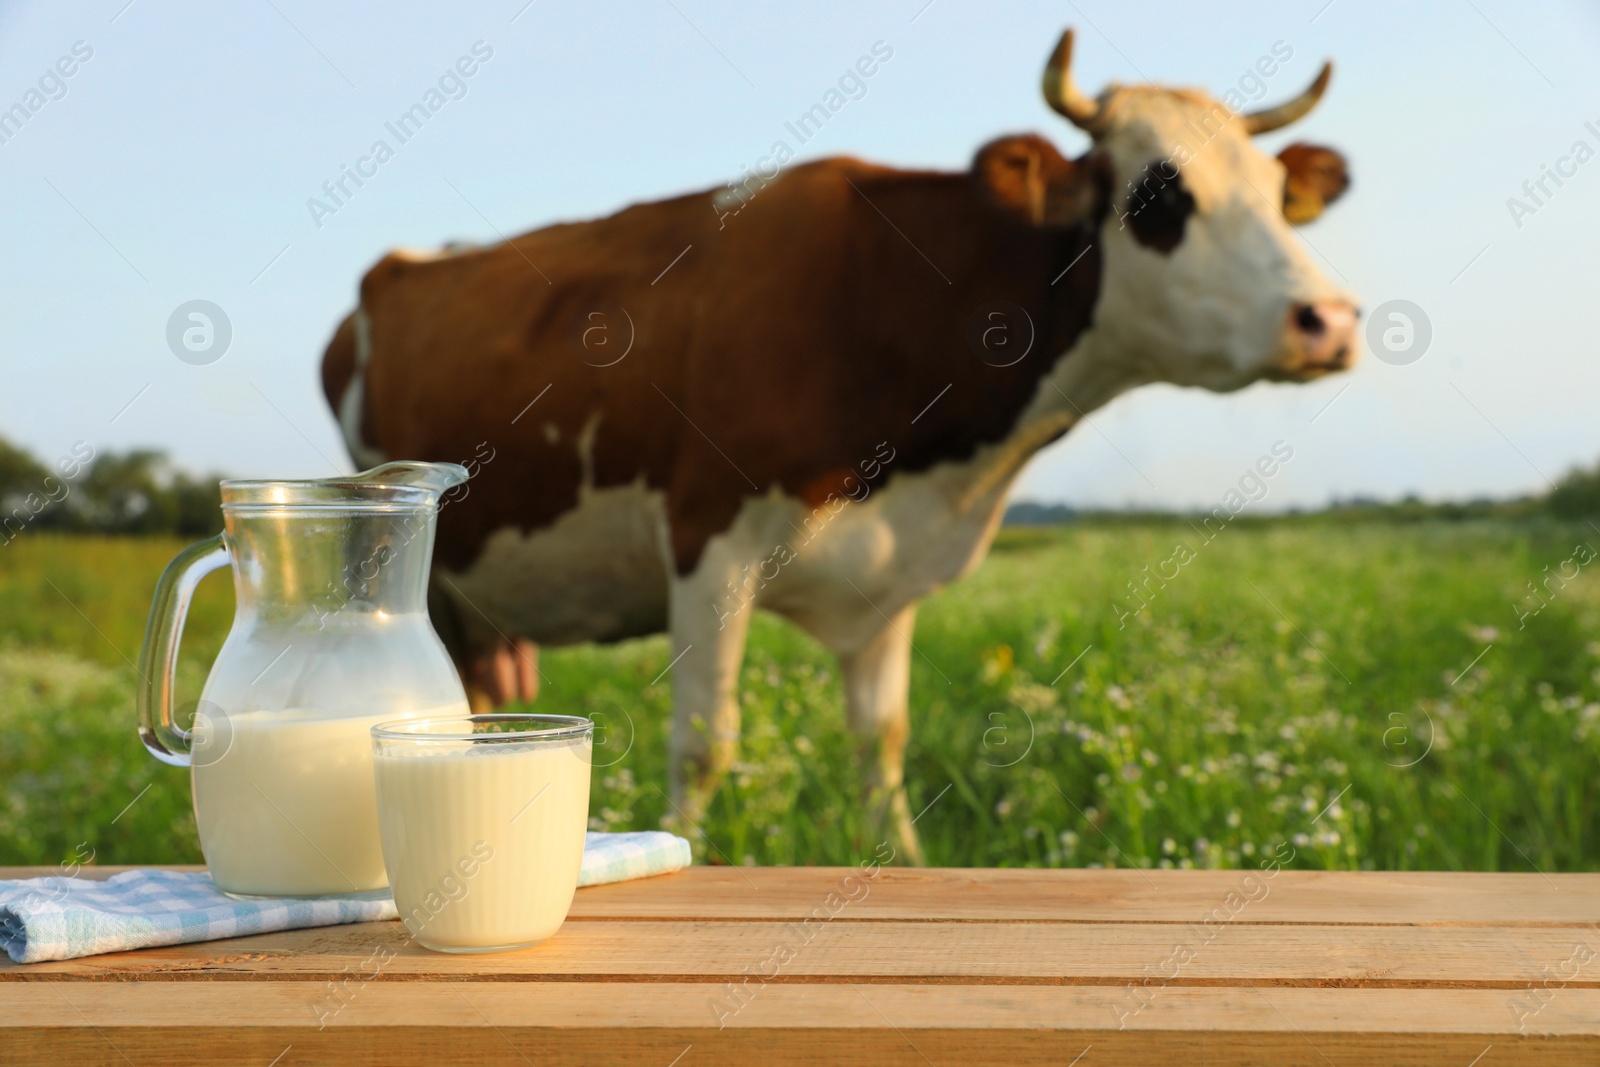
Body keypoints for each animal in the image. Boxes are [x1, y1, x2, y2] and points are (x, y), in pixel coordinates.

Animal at [328, 33, 1363, 863]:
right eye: (1158, 194)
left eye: (1280, 195)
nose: (1331, 320)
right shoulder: (708, 539)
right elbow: (704, 742)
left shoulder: (890, 572)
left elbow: (883, 740)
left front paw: (901, 859)